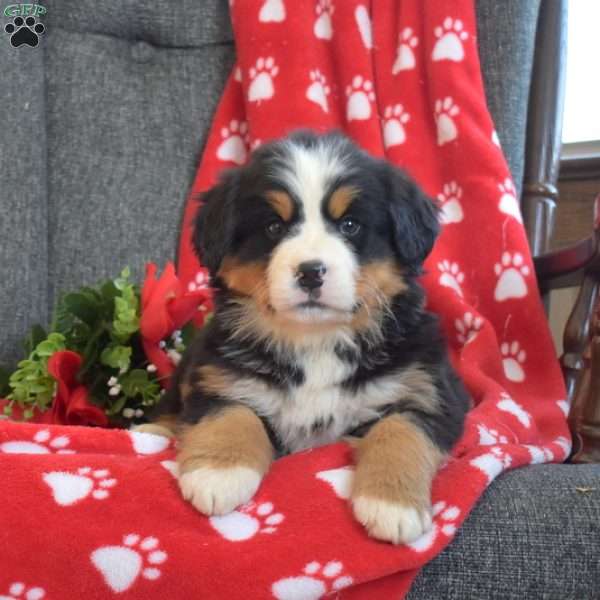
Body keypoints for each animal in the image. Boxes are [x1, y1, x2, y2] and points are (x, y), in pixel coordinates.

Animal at [139, 131, 468, 544]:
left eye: (350, 225)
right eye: (273, 228)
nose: (311, 272)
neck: (315, 340)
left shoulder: (429, 392)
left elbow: (401, 429)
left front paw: (392, 504)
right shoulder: (219, 376)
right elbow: (233, 412)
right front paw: (218, 473)